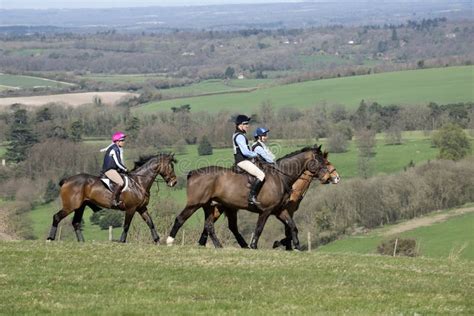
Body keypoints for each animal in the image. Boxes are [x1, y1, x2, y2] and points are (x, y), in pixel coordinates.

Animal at [46, 154, 178, 243]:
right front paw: (122, 241)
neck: (139, 182)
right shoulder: (131, 209)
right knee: (57, 217)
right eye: (170, 166)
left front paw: (157, 240)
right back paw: (50, 238)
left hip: (80, 207)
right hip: (70, 206)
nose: (174, 182)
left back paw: (82, 242)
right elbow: (126, 226)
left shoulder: (141, 208)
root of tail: (67, 180)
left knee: (76, 222)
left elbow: (150, 223)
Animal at [168, 146, 332, 249]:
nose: (329, 178)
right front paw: (254, 246)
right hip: (195, 204)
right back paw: (169, 241)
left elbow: (292, 226)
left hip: (211, 206)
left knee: (210, 226)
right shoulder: (266, 211)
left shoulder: (279, 210)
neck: (280, 176)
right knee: (180, 219)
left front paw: (297, 246)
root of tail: (193, 173)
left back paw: (220, 246)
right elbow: (259, 228)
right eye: (321, 161)